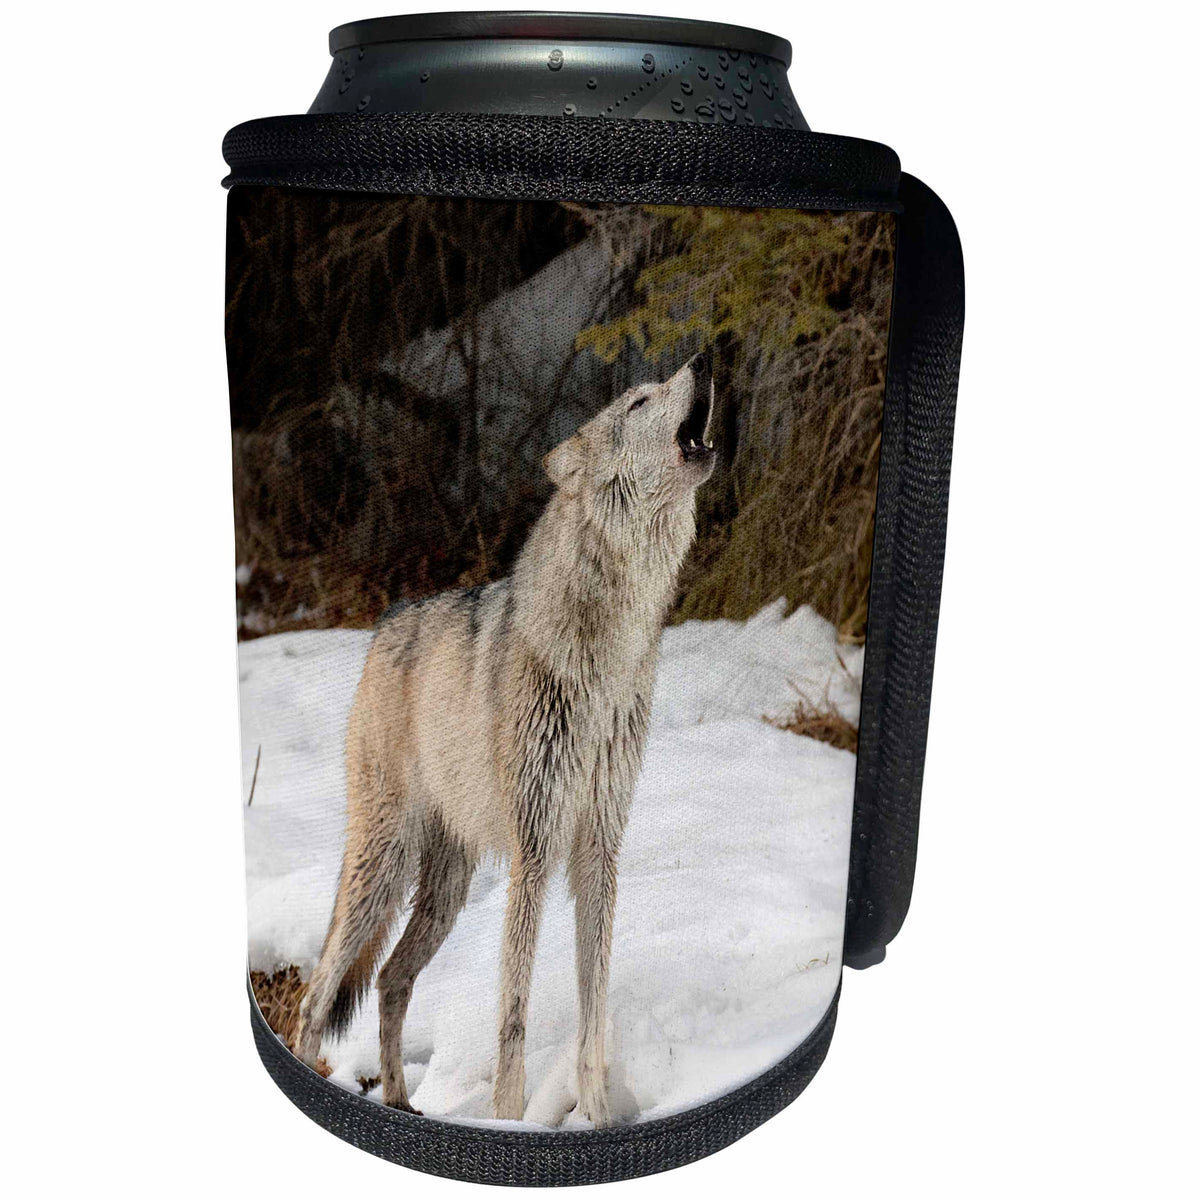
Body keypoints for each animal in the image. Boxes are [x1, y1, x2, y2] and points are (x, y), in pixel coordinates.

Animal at [292, 353, 716, 1126]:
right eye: (639, 402)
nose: (703, 359)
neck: (607, 655)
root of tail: (385, 623)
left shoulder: (599, 850)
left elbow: (593, 1009)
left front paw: (597, 1114)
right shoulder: (535, 852)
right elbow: (513, 1011)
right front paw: (507, 1117)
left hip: (446, 891)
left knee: (392, 980)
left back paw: (401, 1103)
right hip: (384, 868)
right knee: (318, 995)